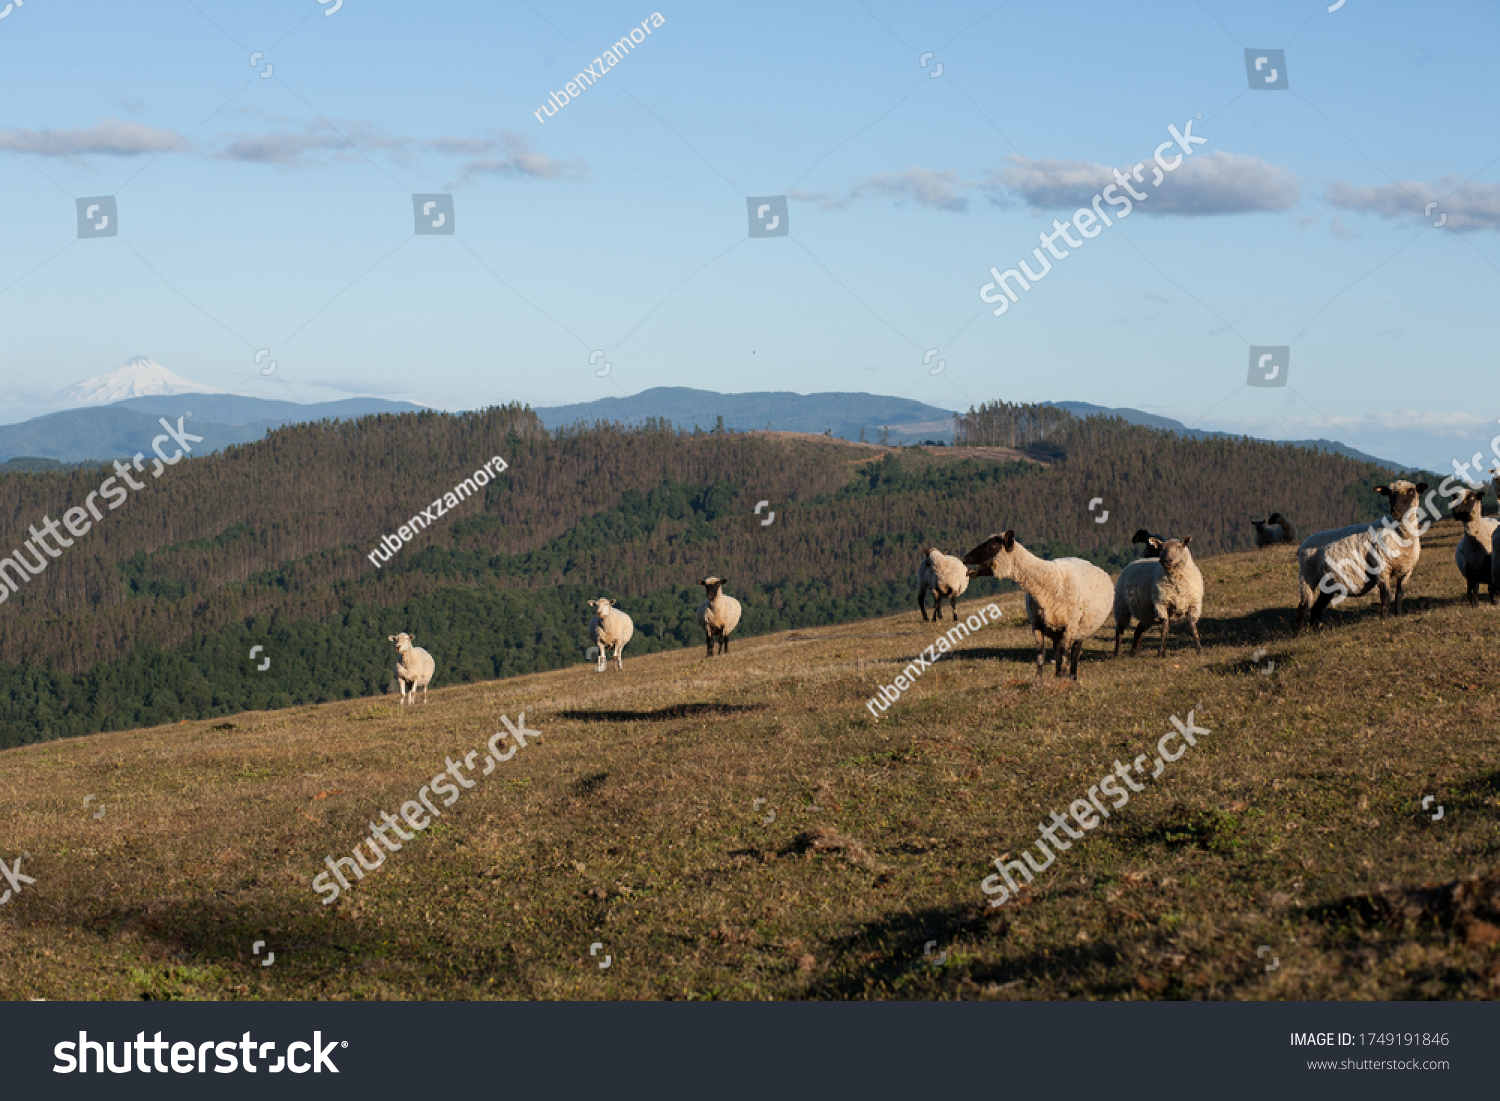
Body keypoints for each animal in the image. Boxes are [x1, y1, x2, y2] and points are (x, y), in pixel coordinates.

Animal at [960, 534, 1116, 681]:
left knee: (1074, 653)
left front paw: (1063, 679)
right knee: (1057, 650)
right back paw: (1057, 675)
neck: (1047, 583)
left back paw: (1072, 677)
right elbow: (1041, 655)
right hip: (1055, 629)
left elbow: (1066, 656)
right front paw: (1038, 680)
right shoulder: (1037, 624)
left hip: (1081, 628)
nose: (965, 559)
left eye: (993, 546)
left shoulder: (1070, 626)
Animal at [1290, 480, 1428, 633]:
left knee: (1316, 607)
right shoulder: (1382, 568)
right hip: (1307, 576)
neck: (1401, 535)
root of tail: (1303, 544)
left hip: (1328, 582)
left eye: (1411, 491)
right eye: (1389, 493)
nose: (1395, 511)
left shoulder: (1406, 571)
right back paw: (1298, 634)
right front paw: (1385, 619)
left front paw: (1399, 615)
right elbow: (1386, 596)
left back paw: (1316, 633)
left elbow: (1400, 595)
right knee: (1304, 605)